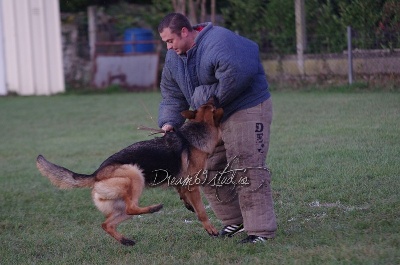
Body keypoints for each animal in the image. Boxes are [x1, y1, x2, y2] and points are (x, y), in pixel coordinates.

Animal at [36, 99, 223, 245]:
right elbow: (202, 211)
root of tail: (96, 174)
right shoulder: (193, 185)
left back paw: (125, 240)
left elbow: (183, 193)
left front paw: (187, 204)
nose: (215, 96)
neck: (198, 130)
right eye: (212, 105)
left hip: (119, 207)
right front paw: (210, 228)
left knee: (108, 223)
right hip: (135, 173)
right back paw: (154, 208)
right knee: (132, 208)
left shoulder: (181, 182)